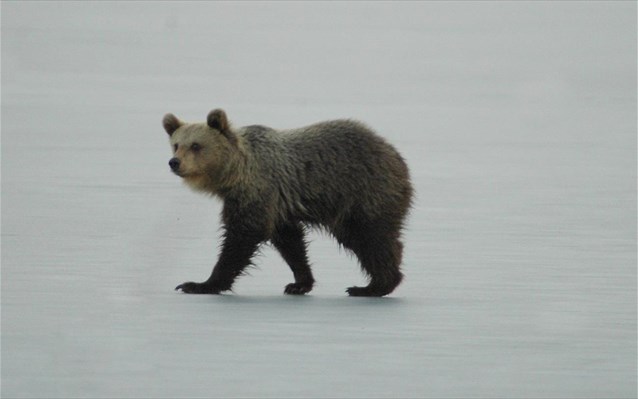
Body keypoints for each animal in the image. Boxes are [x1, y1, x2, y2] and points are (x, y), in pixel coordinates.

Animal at [165, 109, 416, 296]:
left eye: (196, 145)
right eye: (176, 144)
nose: (174, 162)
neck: (235, 173)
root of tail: (397, 156)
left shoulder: (258, 191)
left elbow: (242, 235)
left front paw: (199, 284)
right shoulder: (278, 205)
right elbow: (290, 241)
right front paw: (299, 283)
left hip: (362, 192)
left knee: (370, 237)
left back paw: (372, 286)